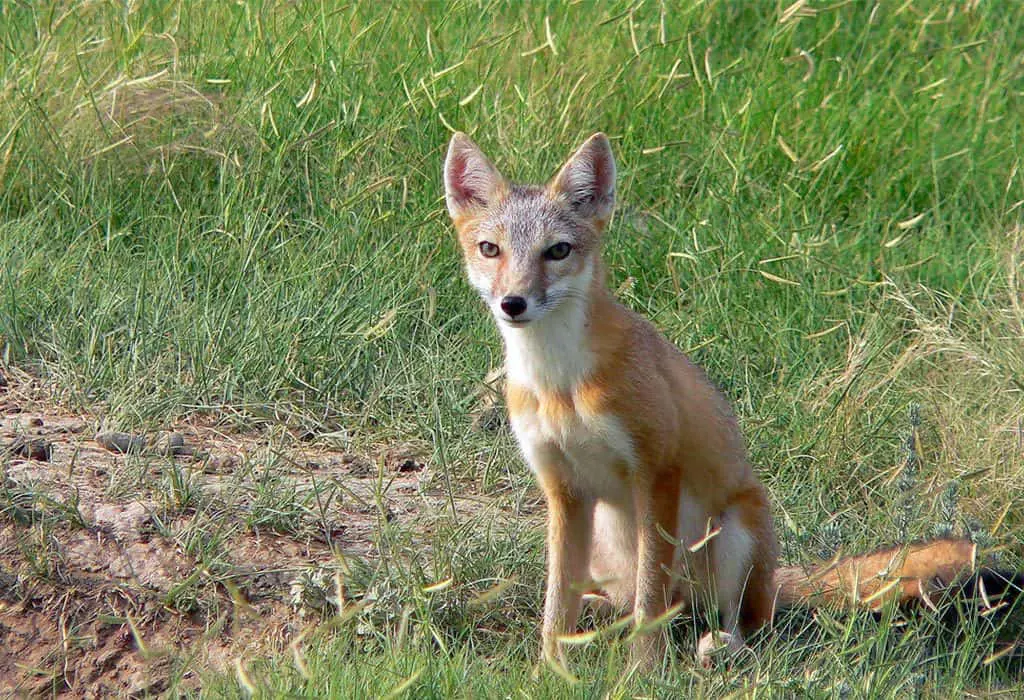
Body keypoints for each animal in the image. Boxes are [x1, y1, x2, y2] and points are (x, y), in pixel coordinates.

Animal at [442, 131, 1021, 669]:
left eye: (557, 250)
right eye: (490, 249)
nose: (513, 303)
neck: (559, 384)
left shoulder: (657, 471)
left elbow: (650, 598)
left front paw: (642, 672)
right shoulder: (562, 488)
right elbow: (556, 603)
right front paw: (551, 669)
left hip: (733, 536)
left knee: (737, 622)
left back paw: (722, 646)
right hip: (607, 538)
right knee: (637, 602)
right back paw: (608, 618)